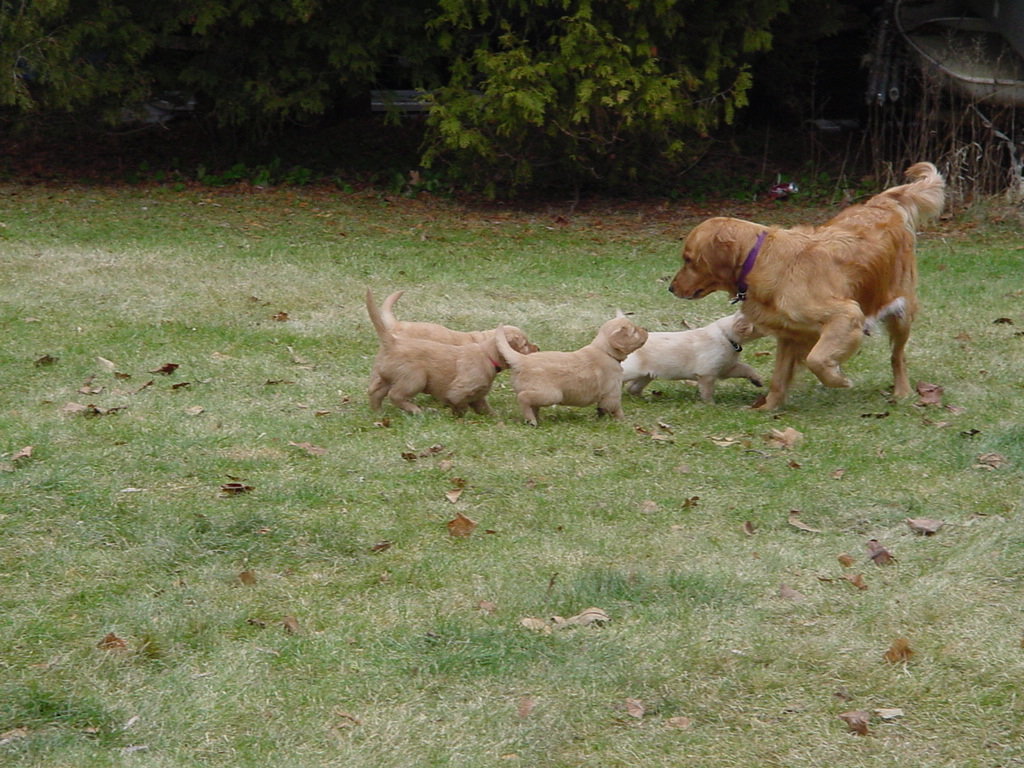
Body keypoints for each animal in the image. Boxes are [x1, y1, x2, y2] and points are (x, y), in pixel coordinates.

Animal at [495, 313, 647, 428]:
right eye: (634, 331)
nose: (645, 328)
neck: (604, 350)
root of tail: (522, 360)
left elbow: (602, 409)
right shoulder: (612, 393)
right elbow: (616, 408)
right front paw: (623, 421)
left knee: (534, 406)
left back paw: (539, 419)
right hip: (551, 394)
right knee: (523, 398)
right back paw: (531, 420)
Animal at [618, 309, 765, 403]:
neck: (726, 336)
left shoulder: (726, 369)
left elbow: (746, 368)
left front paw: (757, 380)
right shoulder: (707, 374)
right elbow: (708, 391)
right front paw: (711, 405)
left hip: (647, 375)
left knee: (632, 388)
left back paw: (645, 399)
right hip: (633, 371)